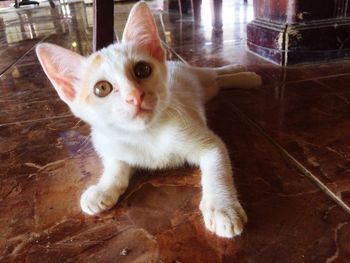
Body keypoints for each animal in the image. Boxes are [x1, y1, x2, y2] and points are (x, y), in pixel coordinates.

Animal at [35, 1, 262, 239]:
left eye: (142, 69)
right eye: (102, 88)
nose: (135, 96)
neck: (144, 134)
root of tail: (174, 63)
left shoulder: (209, 143)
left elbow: (217, 169)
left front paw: (222, 208)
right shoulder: (115, 147)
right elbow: (115, 167)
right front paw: (102, 189)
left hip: (200, 78)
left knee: (214, 73)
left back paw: (243, 74)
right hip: (206, 89)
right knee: (217, 81)